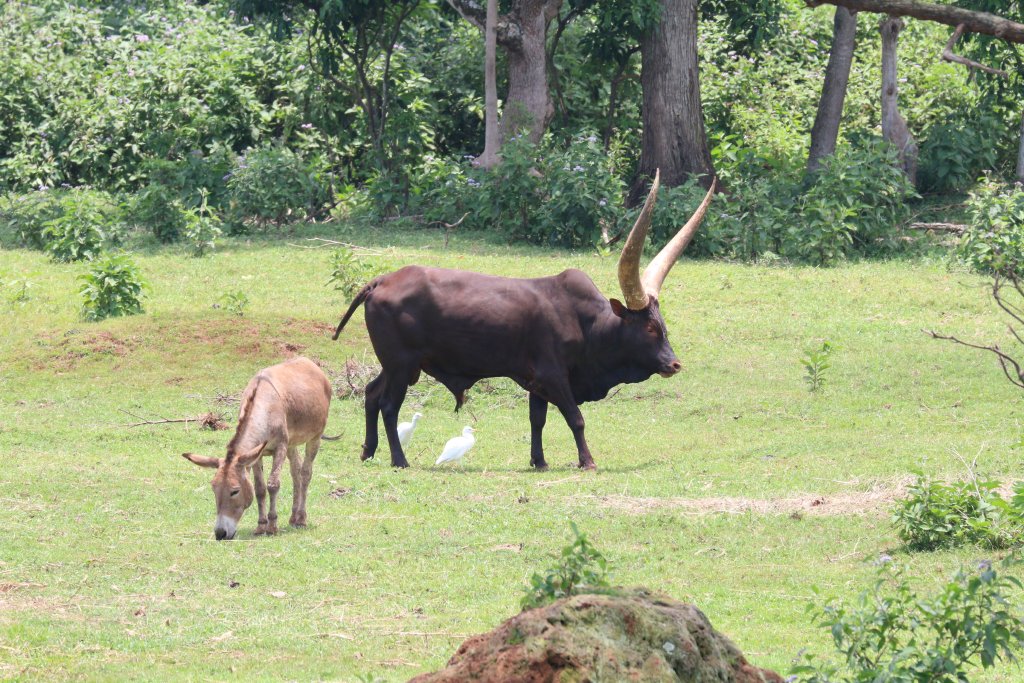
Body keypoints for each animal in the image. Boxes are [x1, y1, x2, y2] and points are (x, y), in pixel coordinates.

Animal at [332, 172, 715, 470]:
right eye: (649, 327)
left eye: (662, 324)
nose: (674, 364)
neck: (587, 324)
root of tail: (382, 280)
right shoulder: (553, 375)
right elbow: (575, 418)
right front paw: (587, 461)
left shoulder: (536, 382)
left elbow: (537, 419)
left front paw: (539, 461)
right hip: (402, 365)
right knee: (388, 405)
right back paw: (400, 460)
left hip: (397, 365)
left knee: (371, 394)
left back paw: (368, 452)